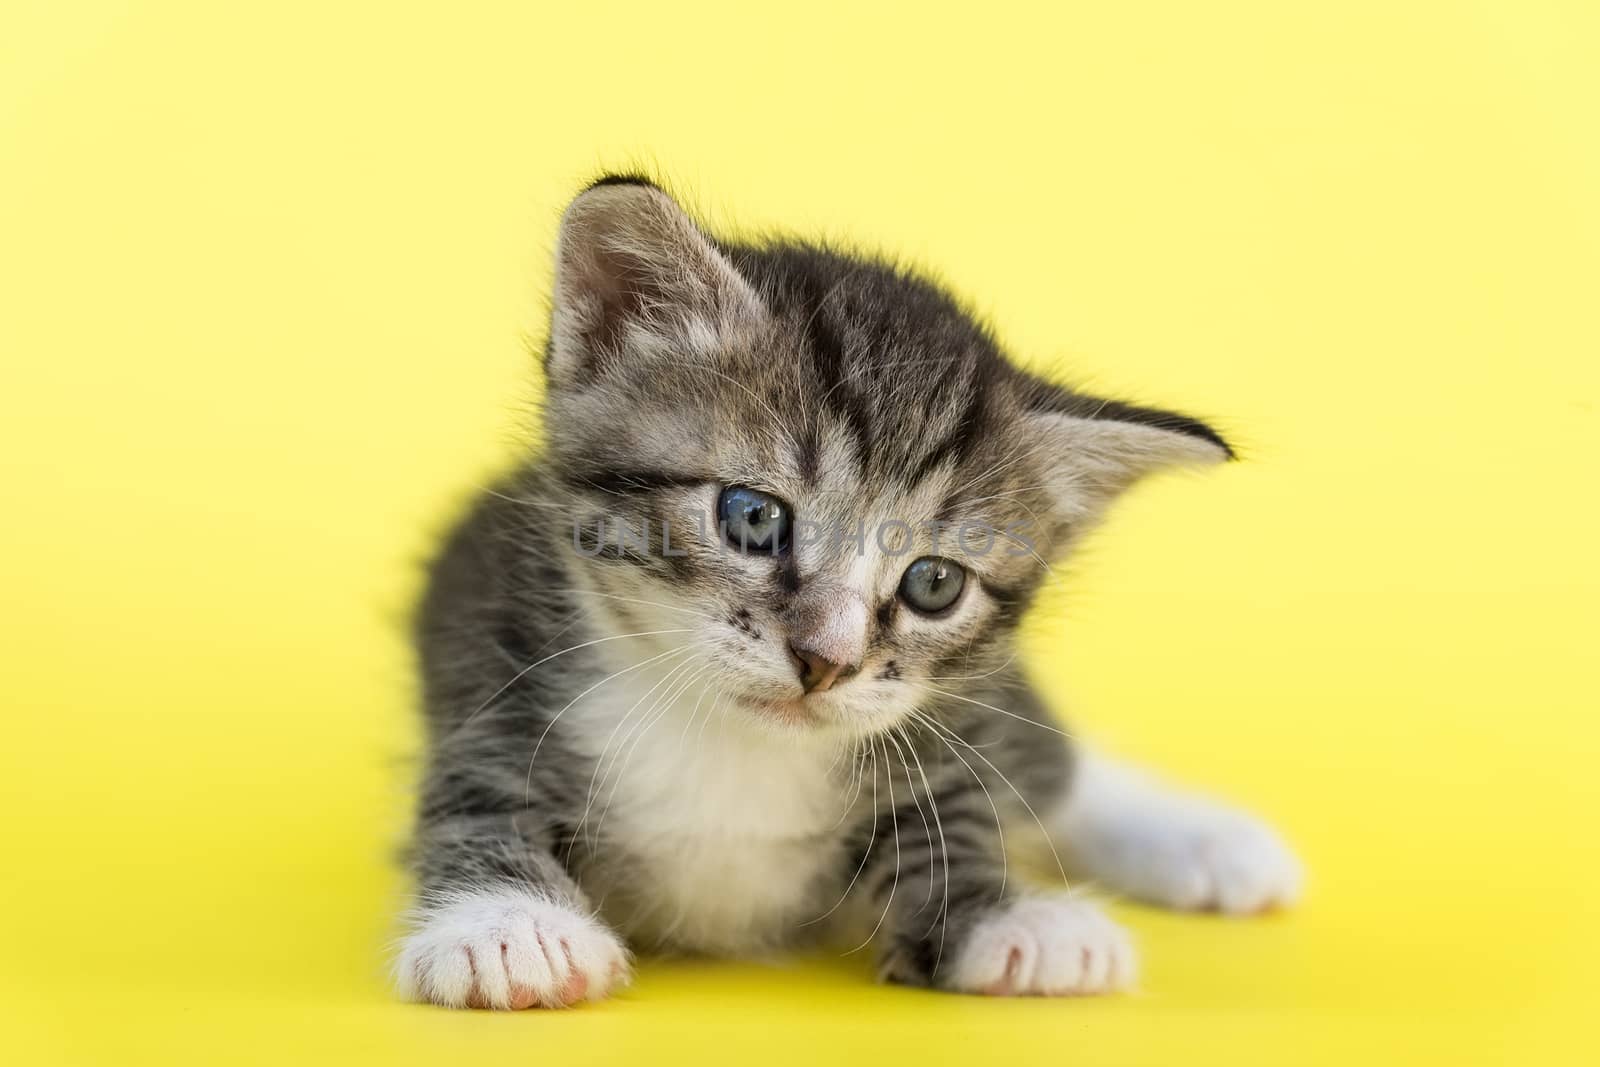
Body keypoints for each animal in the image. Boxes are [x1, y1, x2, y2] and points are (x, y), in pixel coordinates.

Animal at [396, 177, 1299, 1011]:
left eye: (934, 582)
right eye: (752, 515)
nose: (825, 661)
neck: (732, 746)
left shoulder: (943, 729)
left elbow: (959, 814)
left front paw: (1009, 917)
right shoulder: (487, 653)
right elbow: (477, 796)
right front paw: (507, 922)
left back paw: (1211, 841)